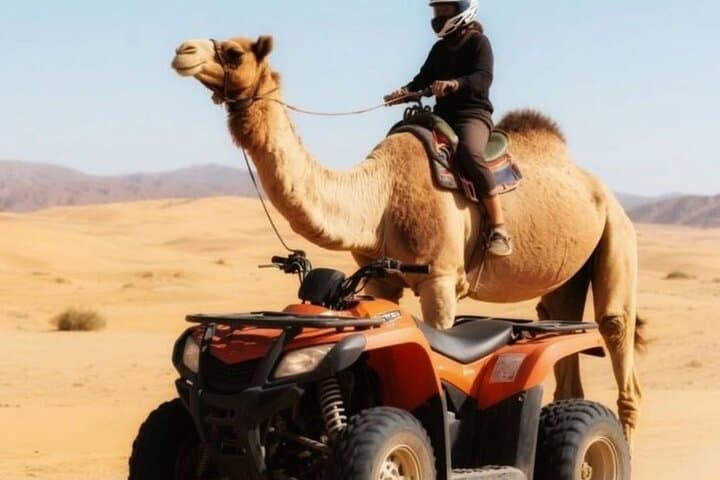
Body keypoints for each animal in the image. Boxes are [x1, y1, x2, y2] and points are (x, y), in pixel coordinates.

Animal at [171, 35, 646, 448]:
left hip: (617, 232)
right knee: (562, 339)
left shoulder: (441, 279)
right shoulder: (381, 276)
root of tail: (595, 185)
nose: (183, 51)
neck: (379, 195)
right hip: (566, 277)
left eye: (234, 52)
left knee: (615, 328)